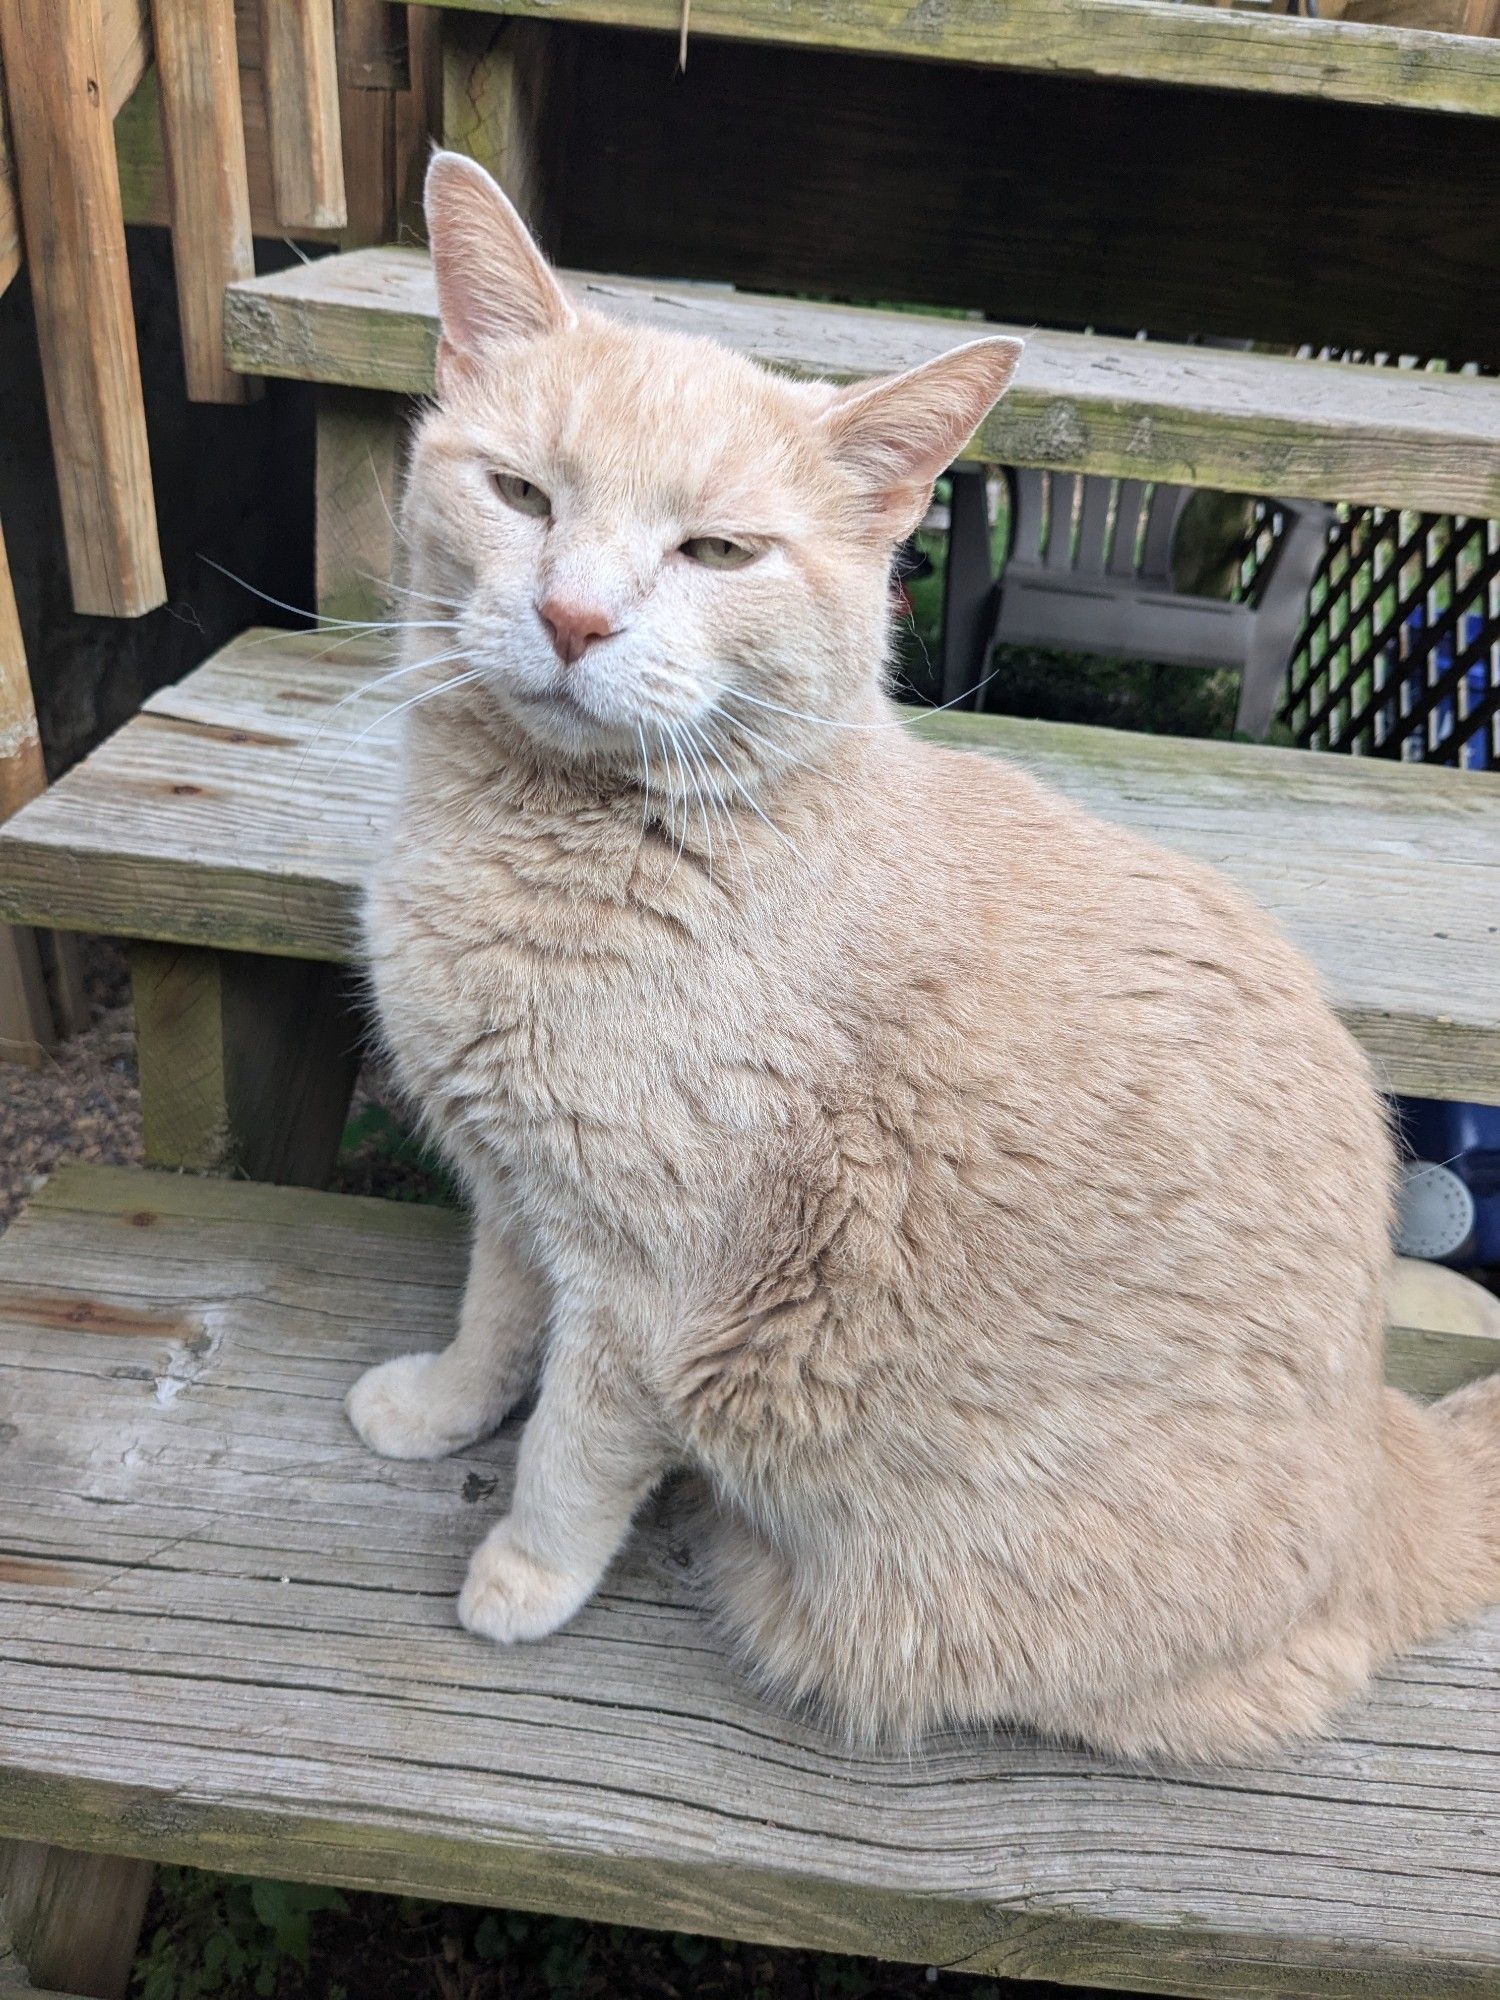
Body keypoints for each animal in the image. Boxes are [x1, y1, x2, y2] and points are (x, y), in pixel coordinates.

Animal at [344, 152, 1500, 1752]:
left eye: (717, 550)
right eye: (521, 492)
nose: (573, 615)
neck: (557, 844)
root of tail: (1388, 1470)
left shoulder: (648, 1282)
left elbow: (575, 1442)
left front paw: (522, 1574)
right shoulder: (519, 1191)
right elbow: (493, 1322)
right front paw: (440, 1406)